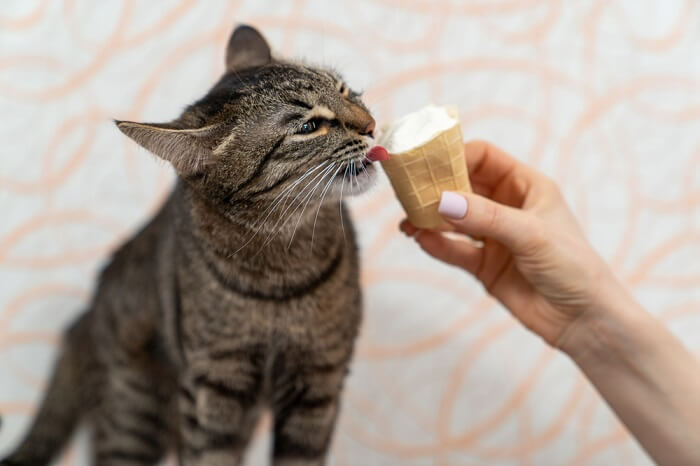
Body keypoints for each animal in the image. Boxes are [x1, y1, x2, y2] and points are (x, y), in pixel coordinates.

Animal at [1, 24, 378, 466]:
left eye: (343, 89)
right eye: (308, 127)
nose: (371, 125)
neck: (280, 267)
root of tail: (83, 320)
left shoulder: (318, 380)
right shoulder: (211, 387)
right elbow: (209, 455)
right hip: (133, 416)